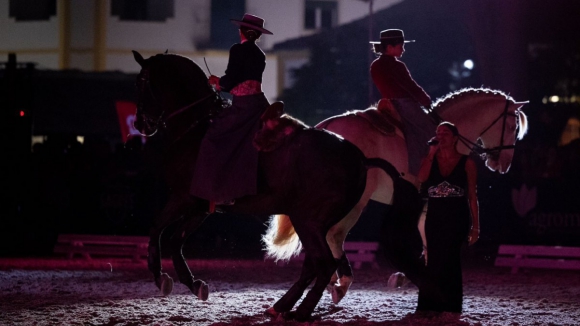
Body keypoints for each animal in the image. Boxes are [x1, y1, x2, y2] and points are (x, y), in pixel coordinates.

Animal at [132, 51, 414, 320]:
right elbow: (176, 240)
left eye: (142, 81)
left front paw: (160, 277)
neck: (196, 129)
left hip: (308, 220)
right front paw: (194, 284)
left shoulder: (182, 198)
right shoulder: (201, 206)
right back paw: (282, 307)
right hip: (315, 223)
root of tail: (359, 158)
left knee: (323, 264)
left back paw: (300, 312)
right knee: (314, 264)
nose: (139, 124)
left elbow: (157, 229)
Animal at [266, 86, 528, 304]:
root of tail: (324, 130)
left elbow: (426, 234)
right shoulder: (427, 199)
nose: (503, 164)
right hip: (355, 202)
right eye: (513, 127)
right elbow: (427, 235)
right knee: (335, 235)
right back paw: (341, 283)